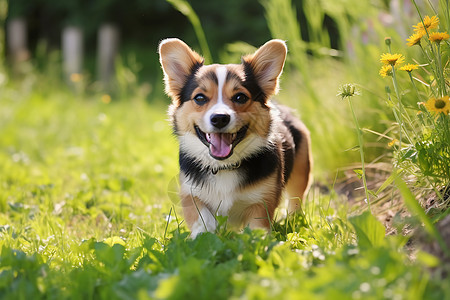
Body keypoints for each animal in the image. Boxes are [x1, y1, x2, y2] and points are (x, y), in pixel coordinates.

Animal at [160, 38, 312, 238]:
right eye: (200, 98)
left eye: (240, 97)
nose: (219, 118)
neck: (224, 166)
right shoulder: (191, 192)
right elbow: (202, 218)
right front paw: (205, 234)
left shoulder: (261, 201)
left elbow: (258, 230)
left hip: (302, 170)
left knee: (296, 198)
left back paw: (293, 219)